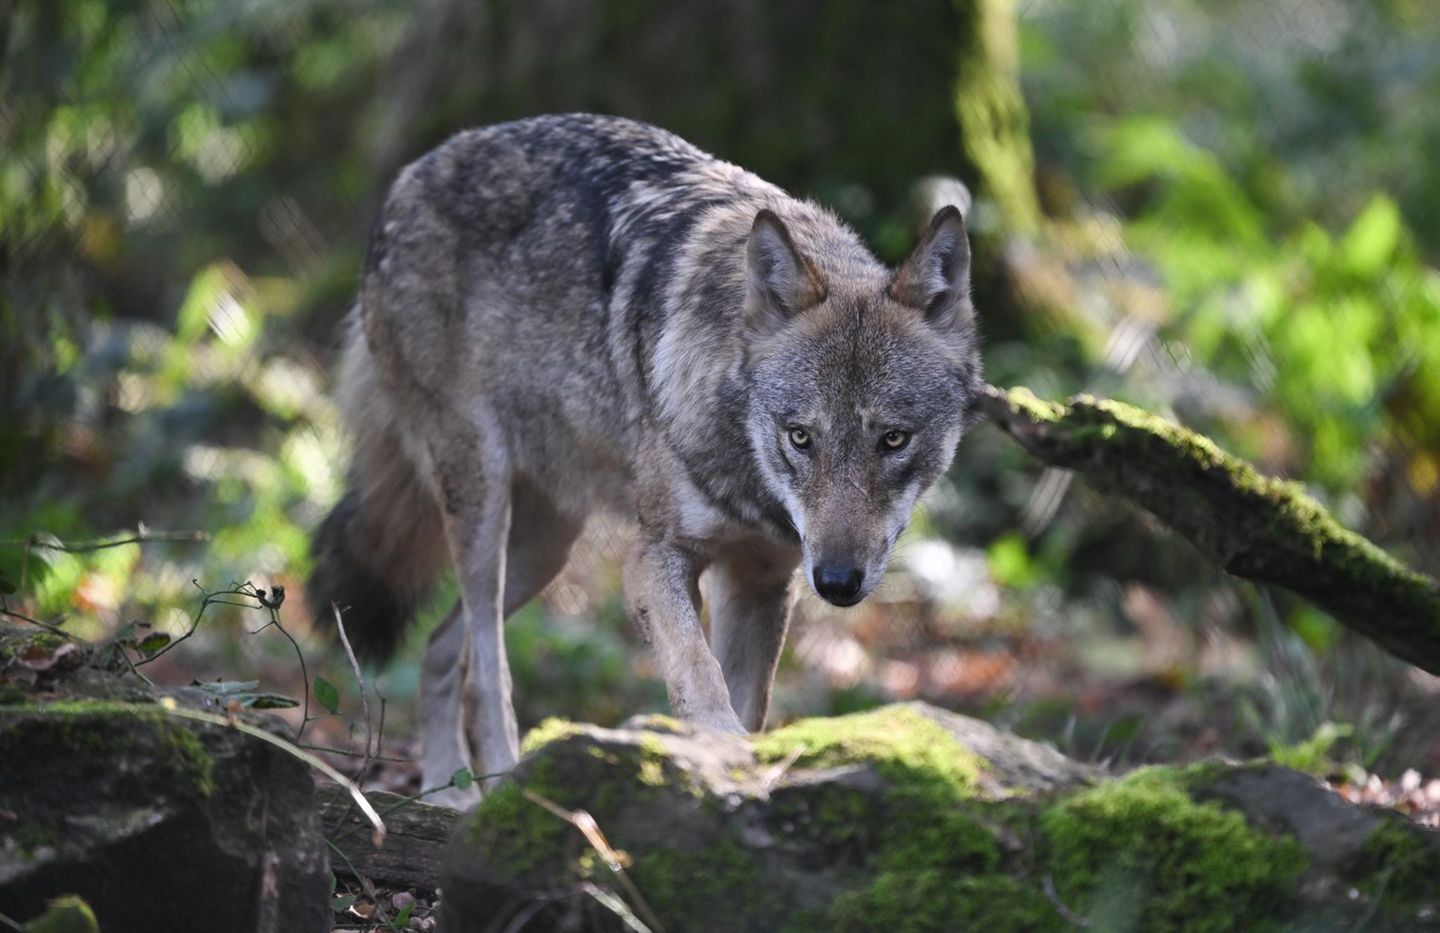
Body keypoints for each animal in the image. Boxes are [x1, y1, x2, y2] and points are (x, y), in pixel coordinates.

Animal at [309, 114, 985, 805]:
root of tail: (411, 175)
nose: (838, 582)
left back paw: (448, 795)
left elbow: (750, 707)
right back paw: (502, 790)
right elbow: (700, 679)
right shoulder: (653, 559)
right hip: (482, 503)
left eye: (893, 440)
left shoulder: (763, 581)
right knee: (483, 673)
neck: (748, 472)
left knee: (441, 648)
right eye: (801, 437)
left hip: (548, 545)